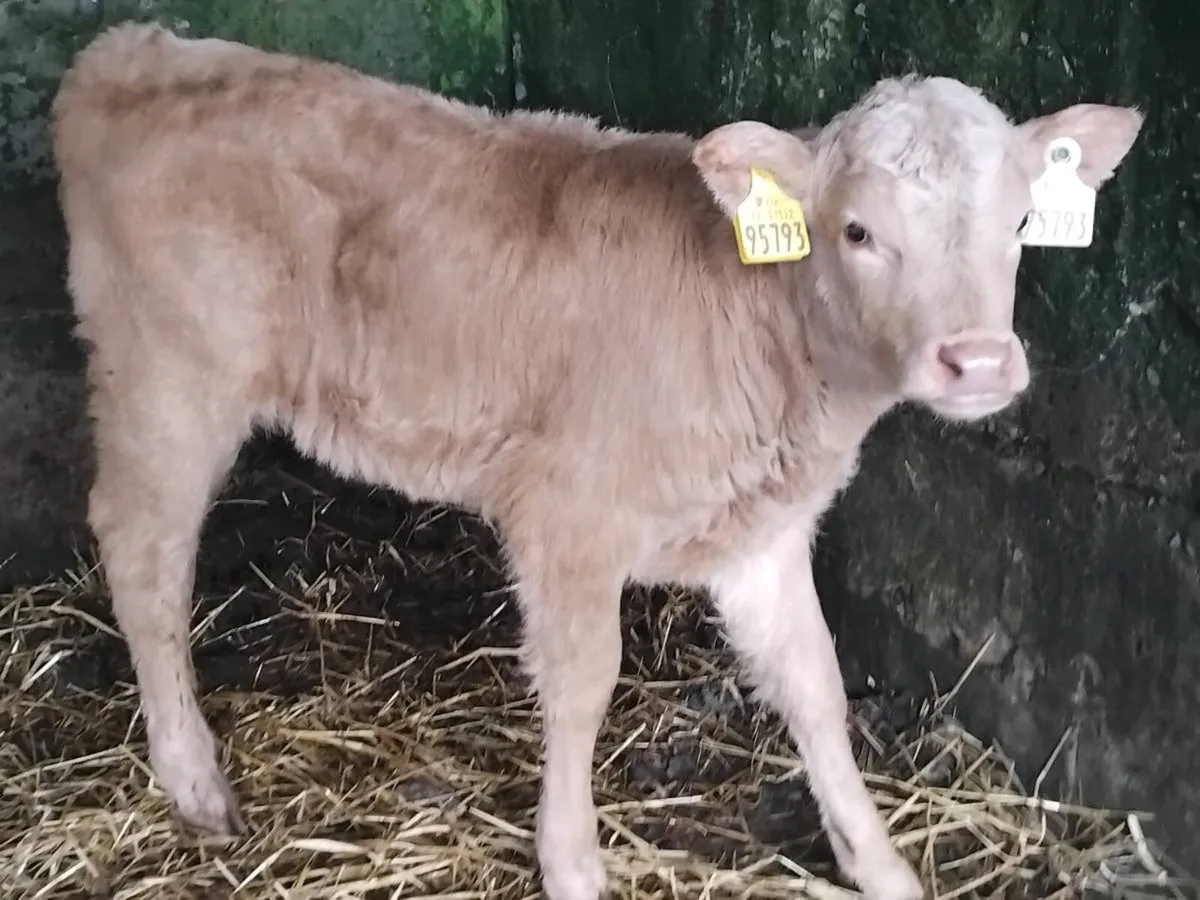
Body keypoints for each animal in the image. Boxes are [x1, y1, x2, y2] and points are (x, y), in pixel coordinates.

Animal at [51, 22, 1143, 900]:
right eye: (858, 230)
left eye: (1020, 223)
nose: (979, 362)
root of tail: (130, 50)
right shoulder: (566, 515)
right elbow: (584, 682)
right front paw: (572, 860)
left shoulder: (762, 530)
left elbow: (816, 684)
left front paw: (877, 861)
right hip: (168, 379)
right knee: (143, 552)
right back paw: (194, 778)